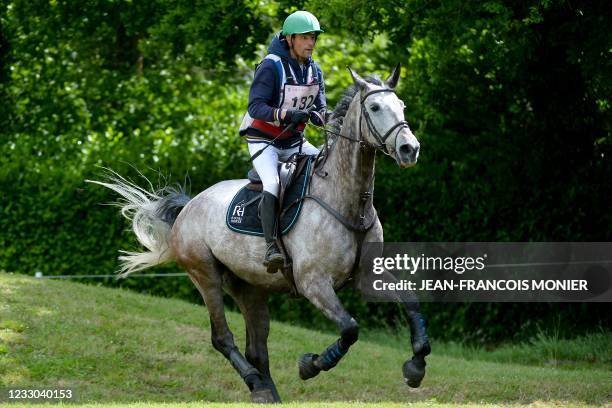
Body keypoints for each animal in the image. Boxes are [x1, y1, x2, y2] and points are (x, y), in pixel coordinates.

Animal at [88, 65, 432, 404]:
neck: (347, 202)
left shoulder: (367, 277)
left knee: (257, 348)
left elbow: (411, 302)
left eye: (401, 106)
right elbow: (349, 329)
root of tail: (189, 207)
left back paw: (266, 392)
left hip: (249, 287)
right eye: (374, 108)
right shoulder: (314, 283)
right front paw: (310, 365)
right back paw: (255, 381)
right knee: (222, 337)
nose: (410, 149)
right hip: (205, 274)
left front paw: (415, 367)